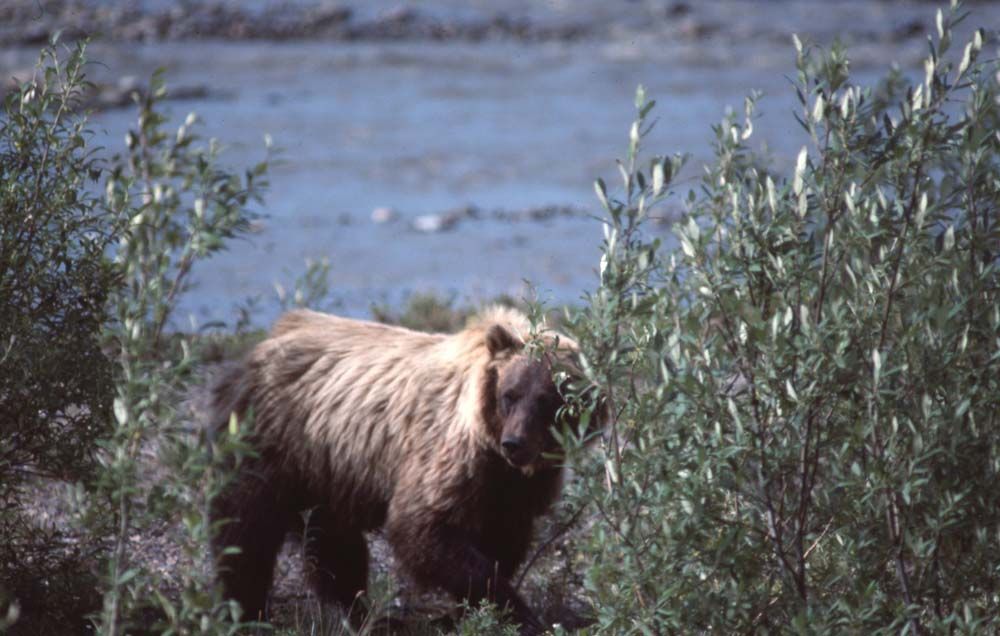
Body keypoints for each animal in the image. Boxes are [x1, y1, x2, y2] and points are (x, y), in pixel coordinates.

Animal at [205, 306, 582, 634]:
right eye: (510, 394)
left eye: (547, 398)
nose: (515, 443)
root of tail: (261, 345)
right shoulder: (450, 458)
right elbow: (423, 529)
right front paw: (517, 613)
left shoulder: (514, 490)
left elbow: (503, 542)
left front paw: (468, 613)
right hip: (270, 442)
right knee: (246, 527)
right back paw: (248, 611)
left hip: (325, 468)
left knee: (333, 542)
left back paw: (365, 614)